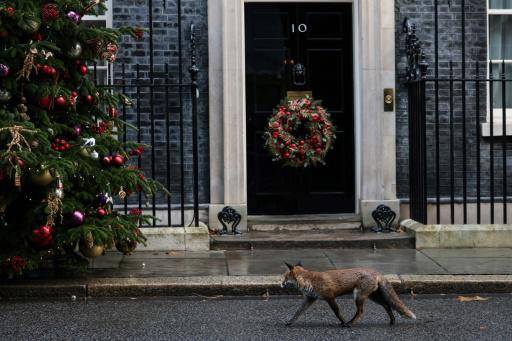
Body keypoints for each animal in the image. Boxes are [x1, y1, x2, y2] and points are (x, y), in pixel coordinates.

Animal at [280, 262, 416, 326]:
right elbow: (298, 313)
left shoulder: (330, 297)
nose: (281, 284)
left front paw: (343, 322)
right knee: (387, 305)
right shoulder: (310, 299)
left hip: (358, 296)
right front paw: (289, 322)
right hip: (372, 297)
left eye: (285, 277)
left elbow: (337, 312)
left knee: (361, 312)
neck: (310, 281)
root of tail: (376, 272)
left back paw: (350, 324)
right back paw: (392, 321)